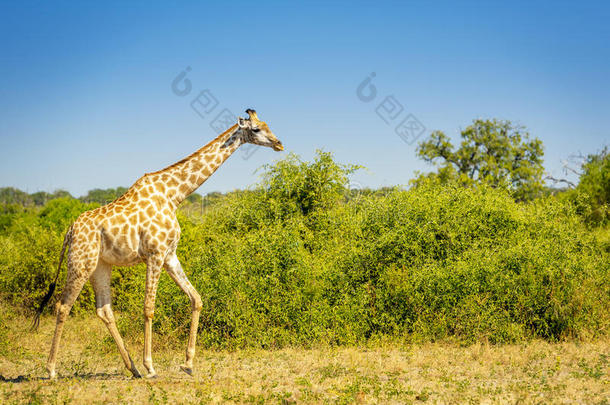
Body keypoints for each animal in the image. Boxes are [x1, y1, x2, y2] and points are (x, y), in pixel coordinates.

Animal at [31, 108, 282, 378]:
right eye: (256, 129)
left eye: (267, 124)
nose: (279, 143)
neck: (174, 195)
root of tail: (69, 230)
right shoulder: (155, 253)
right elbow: (149, 307)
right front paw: (151, 366)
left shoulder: (170, 255)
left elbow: (196, 298)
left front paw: (188, 363)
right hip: (80, 262)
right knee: (62, 306)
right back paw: (52, 370)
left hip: (100, 265)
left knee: (104, 310)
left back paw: (132, 369)